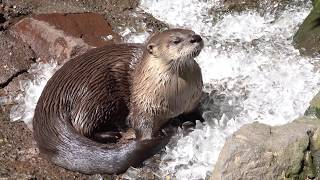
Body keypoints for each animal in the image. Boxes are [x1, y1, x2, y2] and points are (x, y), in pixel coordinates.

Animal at [31, 28, 202, 174]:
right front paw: (151, 138)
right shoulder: (143, 106)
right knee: (83, 127)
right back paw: (112, 135)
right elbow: (142, 126)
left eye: (192, 31)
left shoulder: (193, 99)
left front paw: (194, 120)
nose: (196, 38)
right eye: (176, 41)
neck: (176, 99)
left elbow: (194, 111)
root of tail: (54, 102)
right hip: (96, 96)